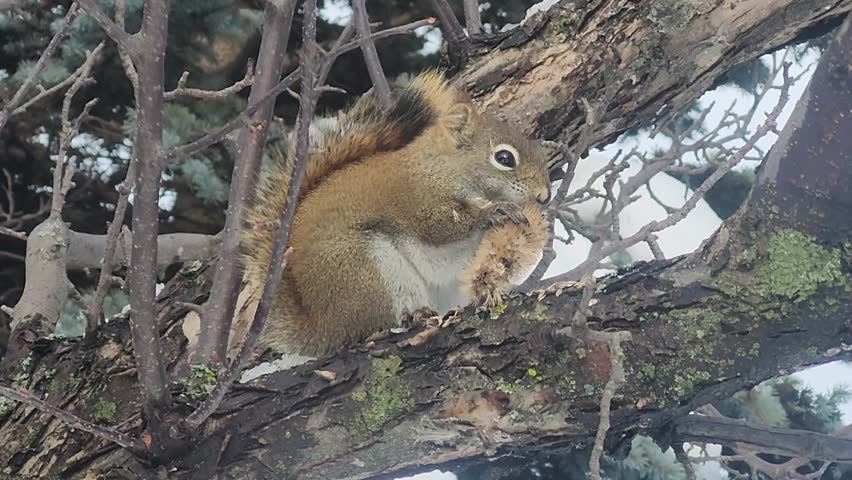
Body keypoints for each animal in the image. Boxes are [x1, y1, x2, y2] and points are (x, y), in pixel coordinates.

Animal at [236, 71, 551, 357]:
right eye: (504, 158)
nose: (544, 196)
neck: (443, 166)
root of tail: (322, 328)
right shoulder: (420, 200)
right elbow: (442, 225)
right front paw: (494, 212)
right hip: (367, 268)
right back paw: (411, 317)